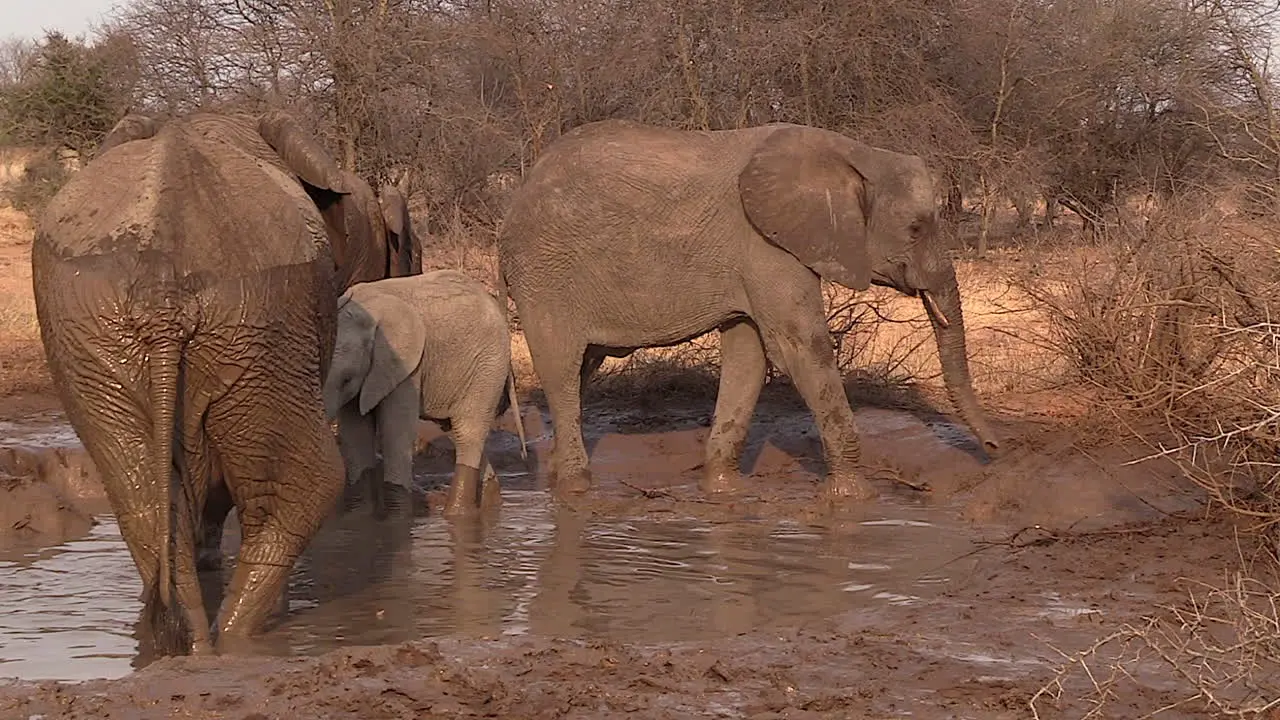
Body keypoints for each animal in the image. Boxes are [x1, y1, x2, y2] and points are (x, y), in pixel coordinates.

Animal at [32, 109, 378, 653]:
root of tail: (162, 283)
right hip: (260, 316)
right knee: (306, 483)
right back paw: (233, 636)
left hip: (92, 323)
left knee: (140, 488)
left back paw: (184, 640)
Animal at [325, 266, 529, 517]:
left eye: (346, 379)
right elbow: (355, 434)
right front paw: (360, 517)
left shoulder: (406, 367)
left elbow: (395, 431)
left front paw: (396, 519)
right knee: (454, 430)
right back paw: (490, 505)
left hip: (488, 364)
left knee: (468, 432)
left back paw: (456, 514)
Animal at [494, 119, 1003, 499]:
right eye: (916, 228)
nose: (996, 449)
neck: (853, 154)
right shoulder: (765, 245)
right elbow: (801, 348)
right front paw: (854, 498)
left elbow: (749, 353)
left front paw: (723, 490)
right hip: (545, 275)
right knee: (561, 371)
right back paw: (577, 488)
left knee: (583, 368)